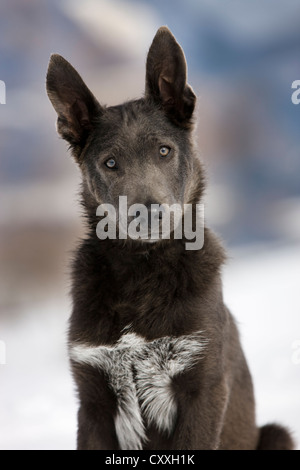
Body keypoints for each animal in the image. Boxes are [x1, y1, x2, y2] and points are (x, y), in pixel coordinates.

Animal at [45, 26, 294, 452]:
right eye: (110, 162)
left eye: (164, 150)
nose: (148, 214)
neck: (142, 270)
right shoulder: (93, 402)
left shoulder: (202, 389)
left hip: (277, 433)